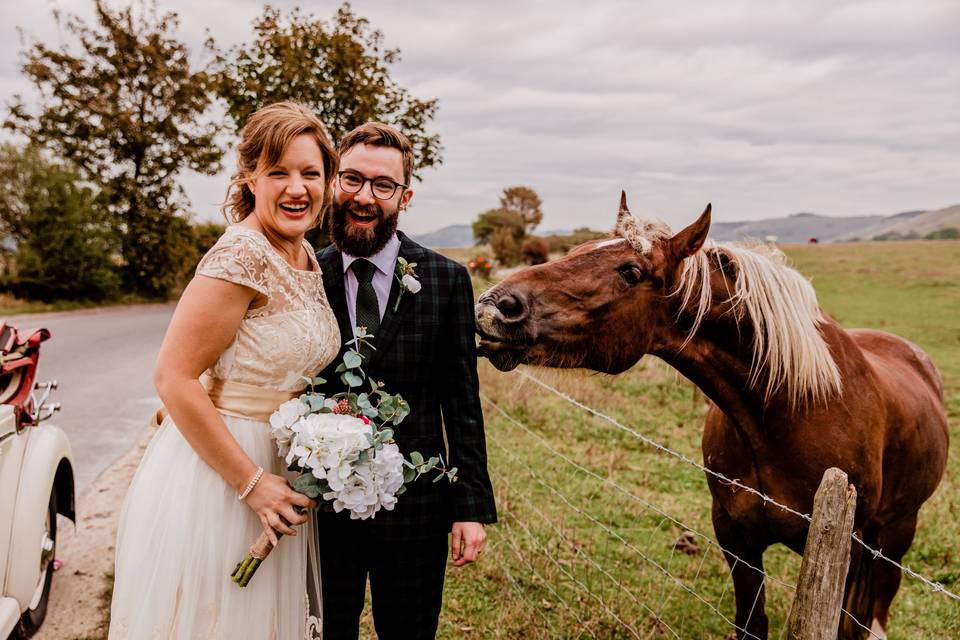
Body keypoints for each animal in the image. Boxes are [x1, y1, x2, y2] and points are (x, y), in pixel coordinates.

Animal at [476, 195, 948, 640]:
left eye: (630, 271)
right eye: (577, 250)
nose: (494, 305)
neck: (795, 410)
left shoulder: (849, 554)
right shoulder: (736, 540)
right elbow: (751, 624)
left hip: (894, 536)